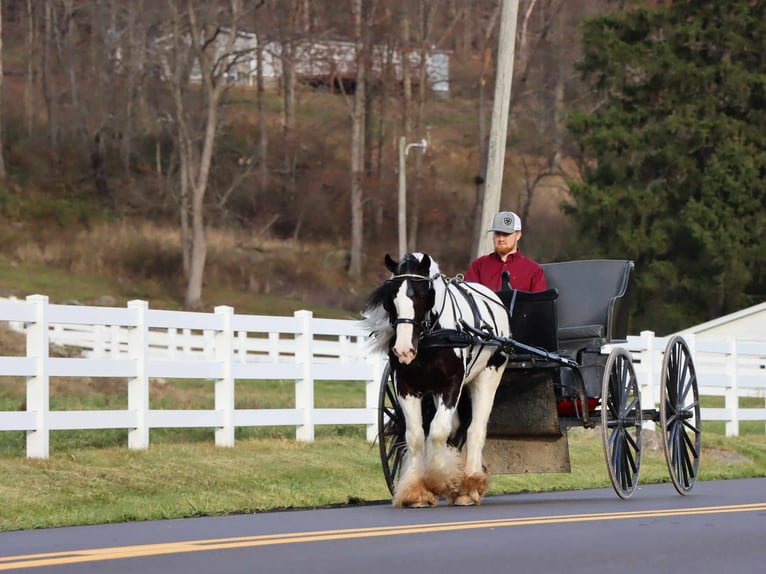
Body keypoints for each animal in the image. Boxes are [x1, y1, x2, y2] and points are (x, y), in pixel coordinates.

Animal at [364, 252, 510, 508]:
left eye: (422, 295)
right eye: (390, 298)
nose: (403, 350)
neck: (432, 336)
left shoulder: (451, 384)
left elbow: (439, 430)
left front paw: (438, 478)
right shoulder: (406, 386)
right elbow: (415, 435)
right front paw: (415, 491)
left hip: (488, 376)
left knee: (475, 429)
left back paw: (470, 486)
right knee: (457, 428)